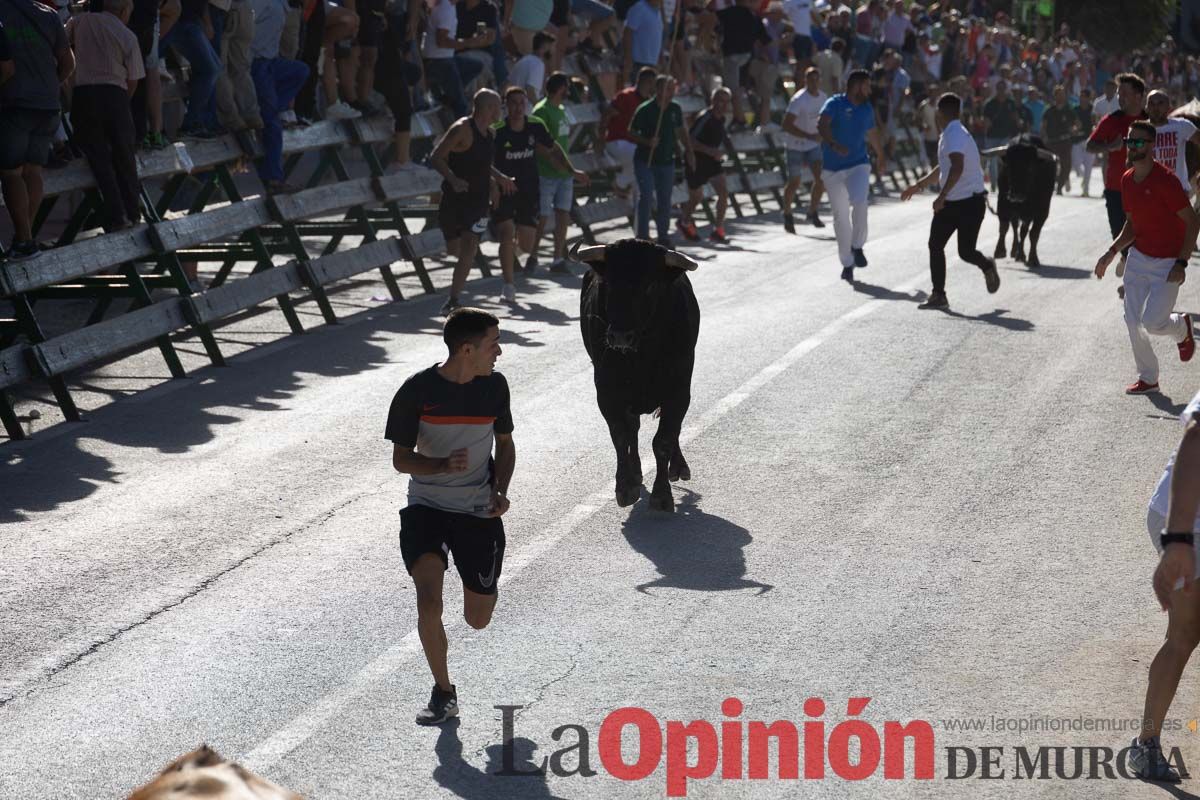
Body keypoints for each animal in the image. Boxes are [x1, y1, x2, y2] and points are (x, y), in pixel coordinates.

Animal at [573, 237, 700, 513]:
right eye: (609, 282)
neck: (642, 356)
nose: (620, 336)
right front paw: (625, 487)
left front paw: (662, 494)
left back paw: (678, 466)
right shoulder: (607, 391)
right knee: (633, 428)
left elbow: (663, 440)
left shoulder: (679, 390)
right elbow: (621, 435)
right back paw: (636, 472)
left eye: (650, 284)